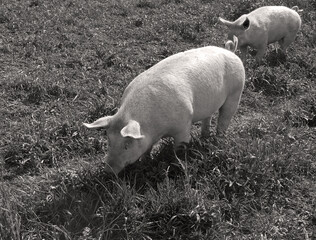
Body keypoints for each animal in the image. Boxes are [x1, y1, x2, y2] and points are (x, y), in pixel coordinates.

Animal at [82, 46, 246, 173]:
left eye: (126, 145)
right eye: (109, 141)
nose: (108, 171)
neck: (156, 129)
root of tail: (230, 51)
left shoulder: (184, 124)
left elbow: (180, 147)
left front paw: (177, 162)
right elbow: (146, 149)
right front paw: (145, 161)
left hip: (236, 92)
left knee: (224, 121)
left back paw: (217, 142)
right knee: (208, 118)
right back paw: (204, 138)